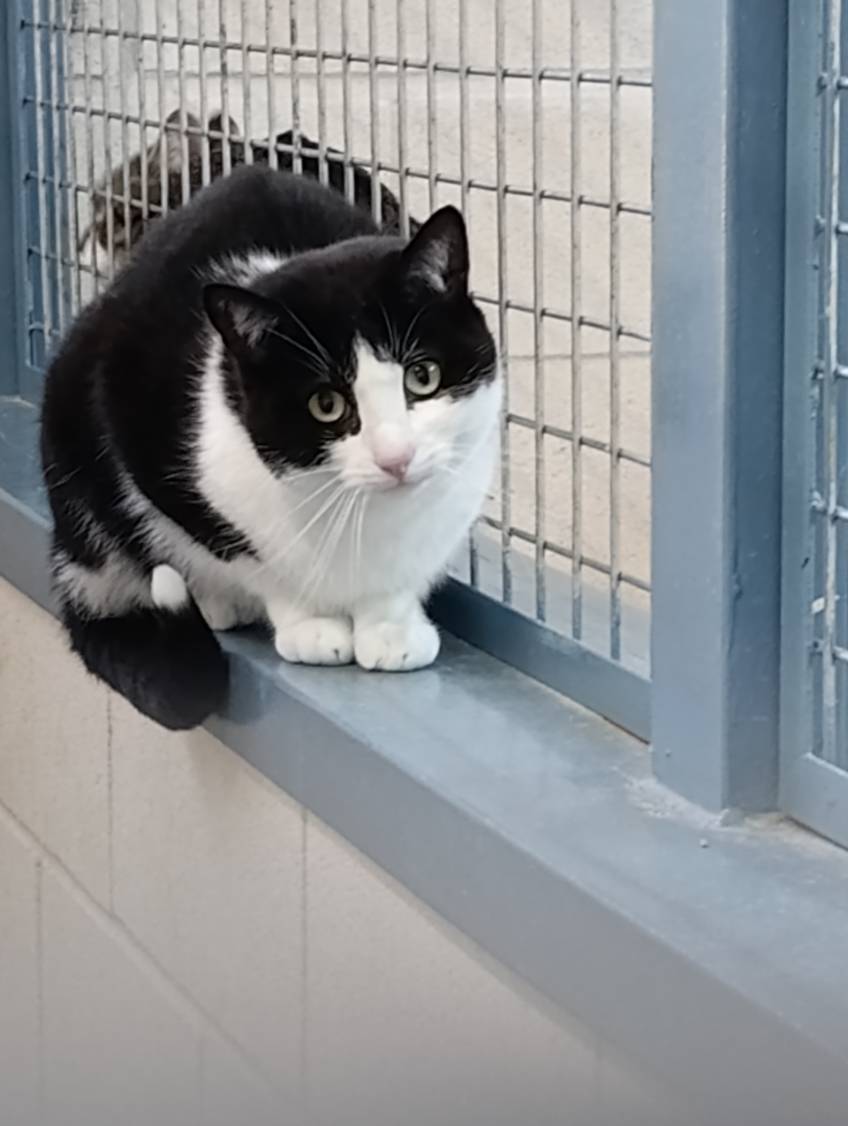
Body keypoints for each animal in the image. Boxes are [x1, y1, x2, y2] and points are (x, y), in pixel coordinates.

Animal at [42, 164, 500, 730]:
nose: (396, 458)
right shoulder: (147, 437)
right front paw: (311, 624)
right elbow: (252, 557)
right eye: (325, 404)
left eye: (423, 376)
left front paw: (392, 627)